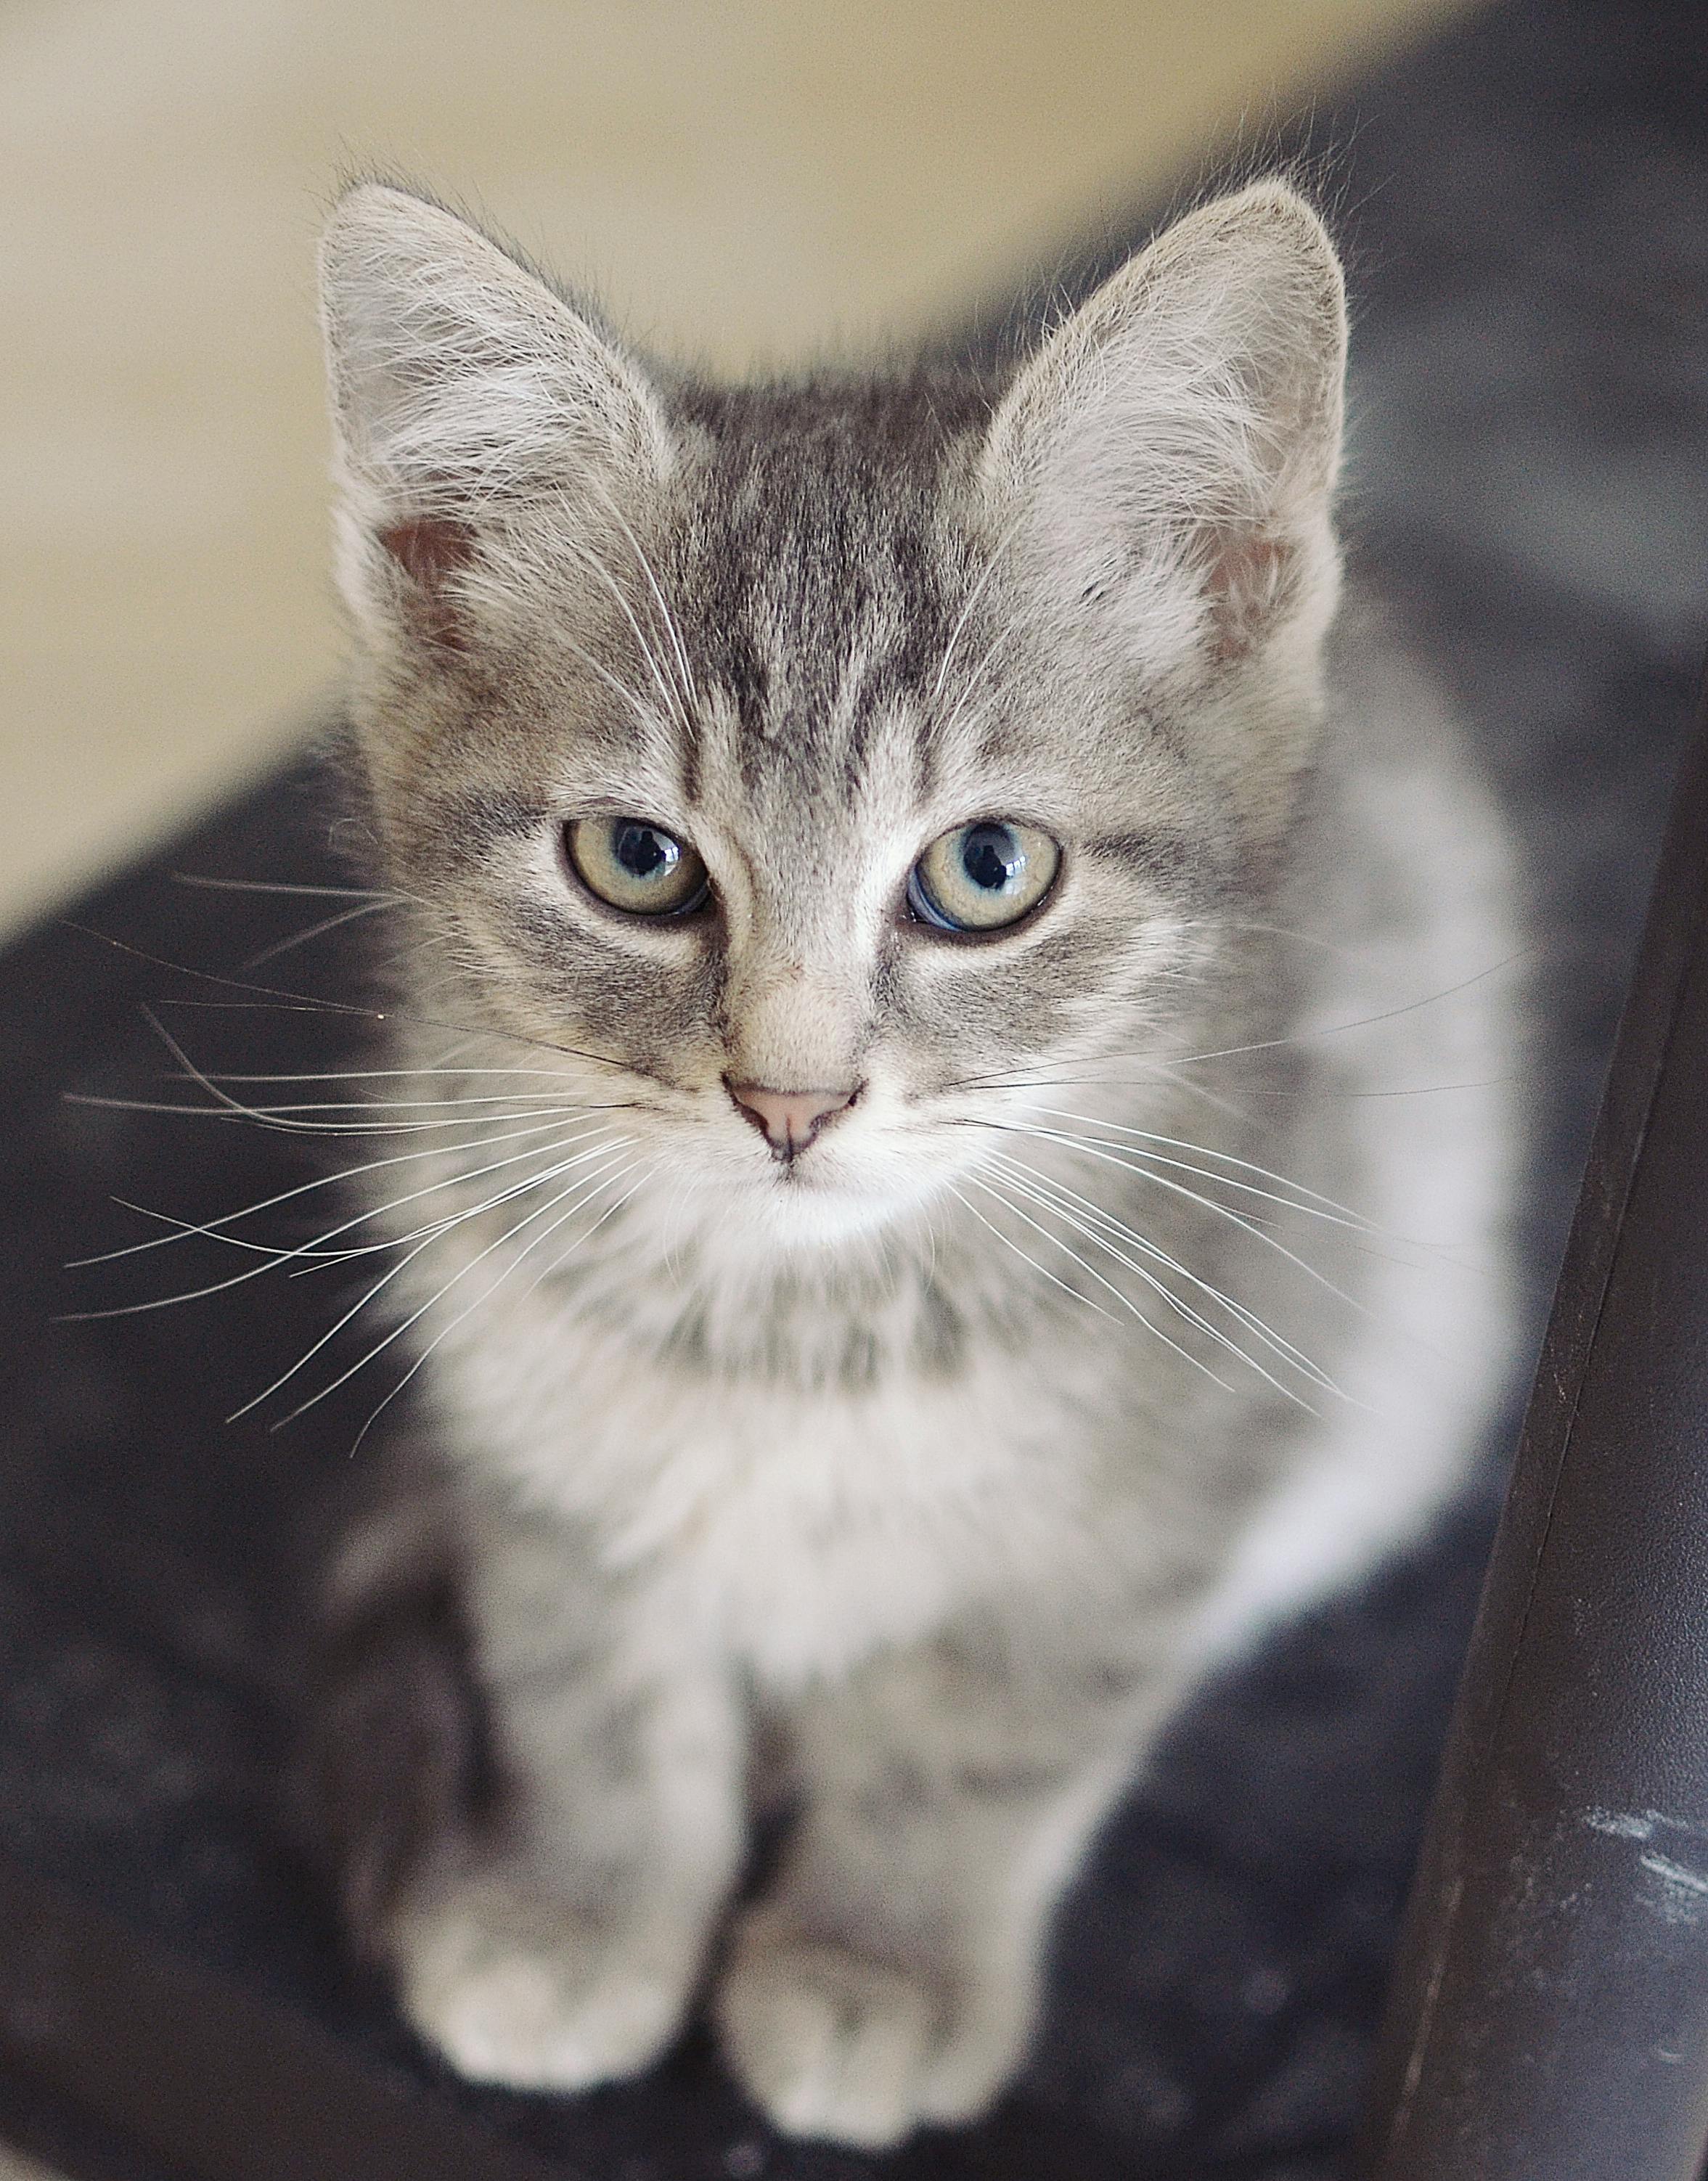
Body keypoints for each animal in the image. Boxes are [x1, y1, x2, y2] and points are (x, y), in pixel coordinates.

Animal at [307, 174, 1527, 2145]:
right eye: (635, 859)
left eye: (985, 871)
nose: (788, 1099)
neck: (794, 1341)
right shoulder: (521, 1412)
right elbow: (584, 1663)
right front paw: (584, 1901)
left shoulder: (1208, 1412)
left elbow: (992, 1722)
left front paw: (877, 1956)